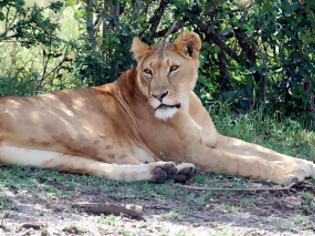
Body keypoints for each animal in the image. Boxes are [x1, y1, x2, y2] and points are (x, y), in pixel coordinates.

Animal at [0, 31, 315, 184]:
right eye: (148, 71)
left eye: (174, 68)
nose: (159, 95)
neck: (185, 104)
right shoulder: (193, 150)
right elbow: (247, 162)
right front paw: (288, 174)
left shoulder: (213, 139)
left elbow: (261, 150)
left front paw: (303, 163)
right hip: (79, 128)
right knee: (123, 161)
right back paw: (172, 170)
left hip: (51, 155)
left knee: (107, 168)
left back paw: (168, 172)